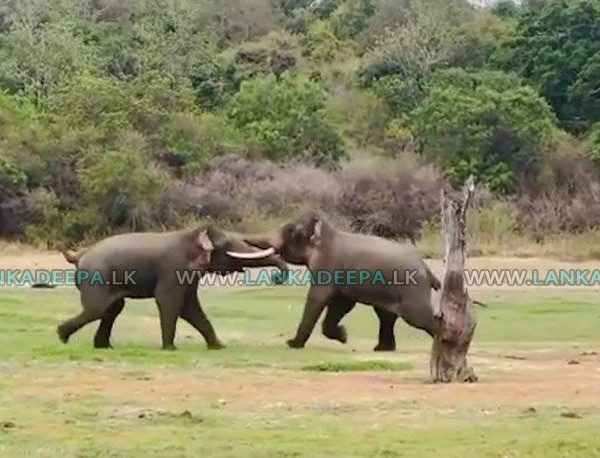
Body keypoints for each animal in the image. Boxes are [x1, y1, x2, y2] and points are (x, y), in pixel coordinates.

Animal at [59, 226, 289, 350]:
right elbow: (170, 302)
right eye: (228, 245)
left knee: (113, 308)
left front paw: (218, 346)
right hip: (96, 277)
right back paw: (62, 336)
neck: (191, 235)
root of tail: (79, 256)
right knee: (98, 309)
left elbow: (190, 307)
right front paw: (170, 348)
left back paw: (103, 346)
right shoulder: (172, 268)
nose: (277, 278)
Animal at [226, 212, 441, 350]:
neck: (327, 233)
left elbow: (319, 298)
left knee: (419, 318)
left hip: (412, 292)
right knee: (385, 316)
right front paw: (343, 336)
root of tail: (427, 270)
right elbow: (341, 304)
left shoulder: (329, 265)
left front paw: (292, 344)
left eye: (289, 231)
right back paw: (381, 349)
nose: (277, 278)